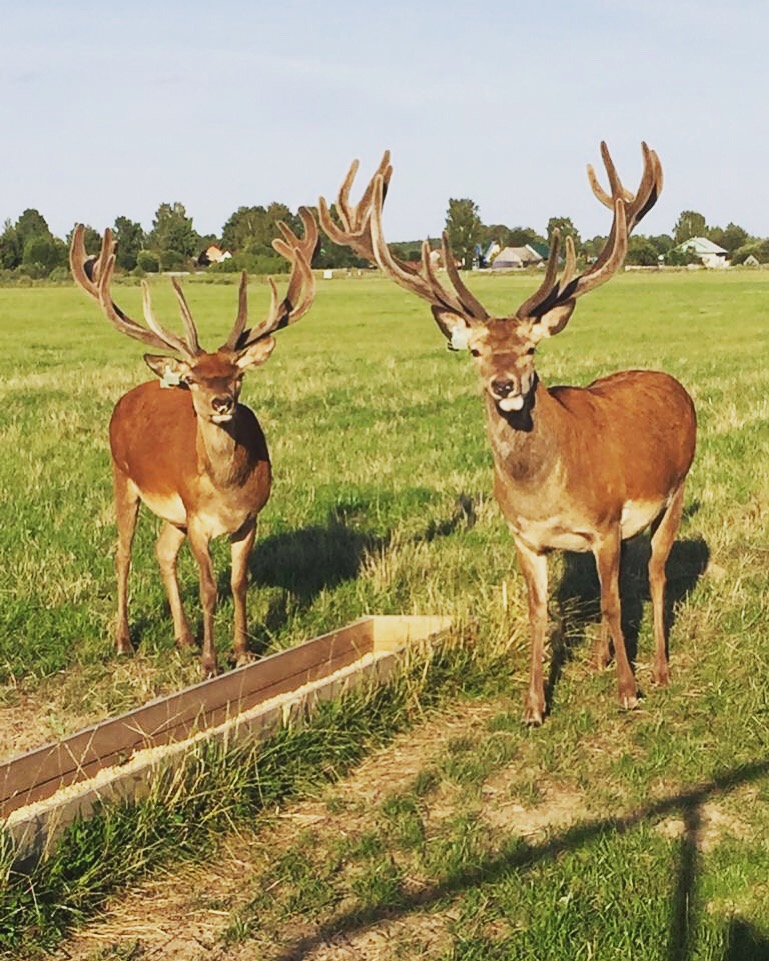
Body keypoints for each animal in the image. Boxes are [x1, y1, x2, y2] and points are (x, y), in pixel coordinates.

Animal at [69, 210, 316, 676]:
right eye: (194, 379)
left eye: (237, 375)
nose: (221, 403)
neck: (225, 489)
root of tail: (134, 392)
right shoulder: (199, 519)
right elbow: (208, 587)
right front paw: (210, 662)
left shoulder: (250, 518)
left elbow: (237, 584)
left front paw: (242, 651)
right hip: (123, 477)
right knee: (124, 553)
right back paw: (124, 640)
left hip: (174, 512)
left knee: (162, 550)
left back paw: (182, 636)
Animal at [318, 146, 696, 724]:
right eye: (475, 350)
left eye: (530, 347)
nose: (505, 384)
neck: (544, 492)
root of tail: (674, 384)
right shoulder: (525, 535)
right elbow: (540, 612)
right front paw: (535, 704)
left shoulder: (603, 523)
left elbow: (611, 603)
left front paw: (628, 692)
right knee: (628, 577)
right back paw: (601, 659)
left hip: (676, 488)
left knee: (654, 575)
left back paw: (657, 668)